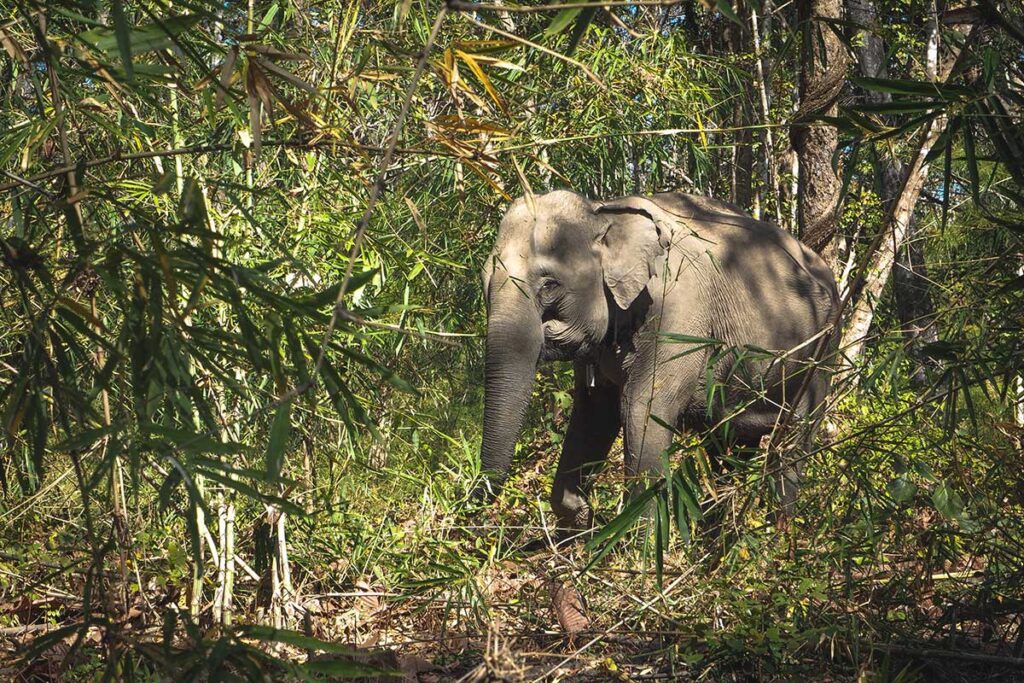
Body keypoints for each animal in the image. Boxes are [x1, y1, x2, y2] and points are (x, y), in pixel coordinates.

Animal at [476, 190, 838, 534]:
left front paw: (636, 544)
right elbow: (594, 413)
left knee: (792, 443)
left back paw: (774, 544)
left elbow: (642, 410)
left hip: (821, 354)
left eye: (549, 284)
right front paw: (580, 516)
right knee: (727, 449)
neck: (604, 210)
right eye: (484, 283)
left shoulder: (678, 313)